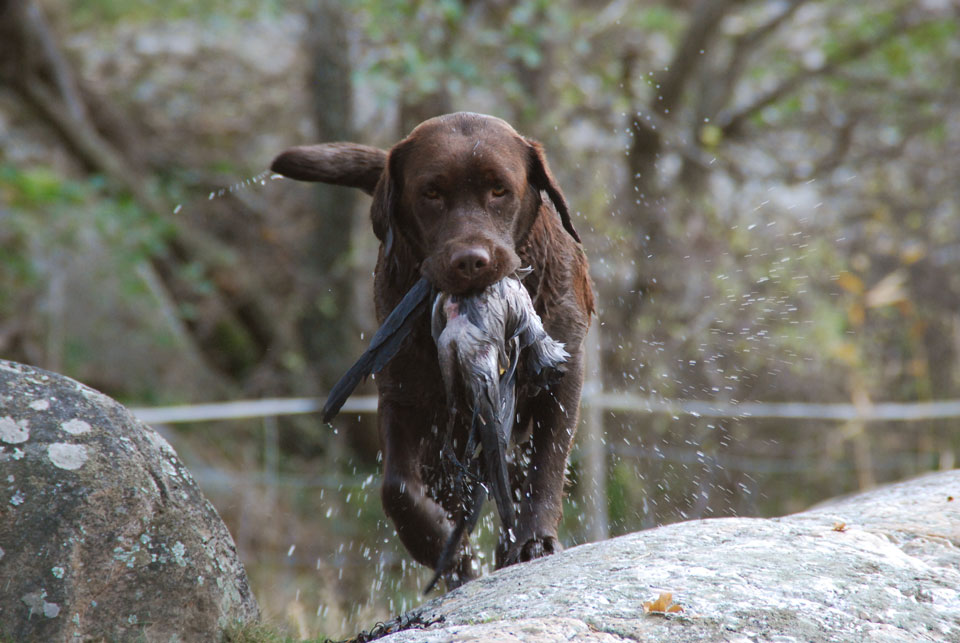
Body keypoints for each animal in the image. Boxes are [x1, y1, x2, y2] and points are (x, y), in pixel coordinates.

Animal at [270, 112, 592, 588]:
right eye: (432, 193)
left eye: (500, 190)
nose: (471, 261)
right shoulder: (403, 393)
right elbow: (398, 488)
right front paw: (445, 548)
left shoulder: (562, 374)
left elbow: (547, 465)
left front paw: (534, 541)